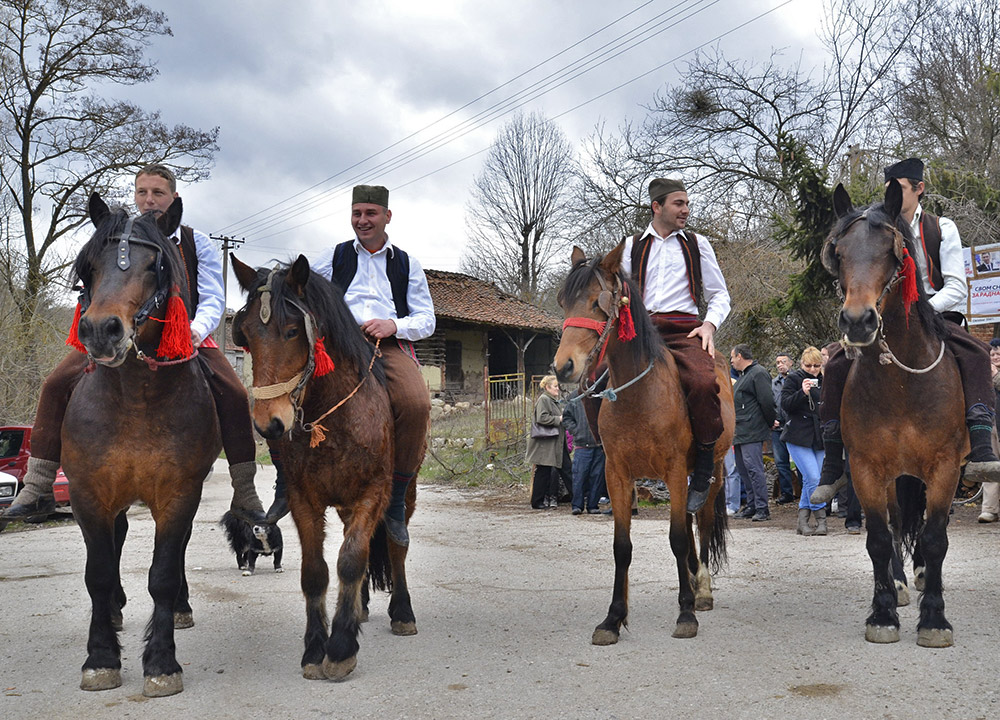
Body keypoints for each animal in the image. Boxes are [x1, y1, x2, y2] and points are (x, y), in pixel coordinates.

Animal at [62, 193, 221, 696]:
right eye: (90, 266)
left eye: (156, 266)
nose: (101, 330)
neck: (134, 400)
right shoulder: (87, 493)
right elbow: (97, 573)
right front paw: (100, 657)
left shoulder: (179, 495)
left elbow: (164, 575)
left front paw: (162, 662)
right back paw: (113, 610)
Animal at [548, 242, 736, 640]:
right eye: (563, 302)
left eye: (597, 302)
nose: (563, 367)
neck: (639, 395)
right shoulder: (618, 475)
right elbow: (622, 547)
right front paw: (613, 618)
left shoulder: (675, 472)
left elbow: (677, 538)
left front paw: (685, 613)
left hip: (710, 471)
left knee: (701, 522)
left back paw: (702, 589)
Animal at [824, 180, 964, 648]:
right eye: (839, 251)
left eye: (892, 250)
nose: (858, 321)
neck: (901, 383)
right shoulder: (867, 468)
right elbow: (880, 539)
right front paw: (883, 612)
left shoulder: (944, 467)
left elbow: (935, 538)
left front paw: (935, 618)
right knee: (899, 521)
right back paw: (901, 582)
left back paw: (919, 576)